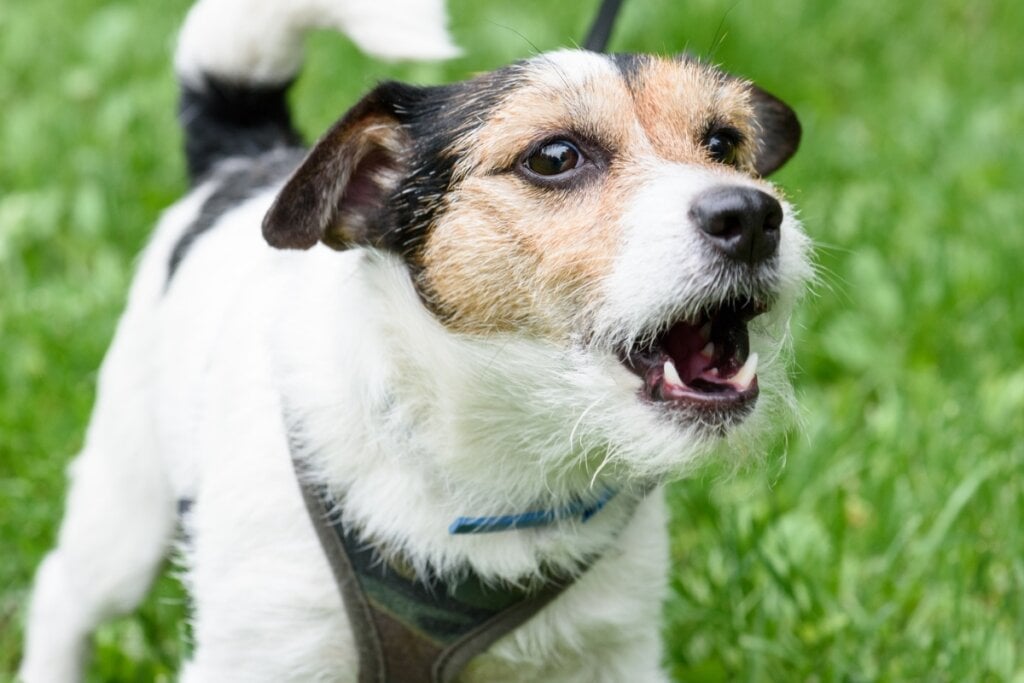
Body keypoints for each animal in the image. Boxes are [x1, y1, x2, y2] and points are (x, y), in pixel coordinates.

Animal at [19, 0, 811, 679]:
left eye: (724, 143)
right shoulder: (261, 649)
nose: (752, 216)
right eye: (554, 157)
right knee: (63, 591)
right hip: (124, 510)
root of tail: (243, 160)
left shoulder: (611, 651)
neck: (492, 465)